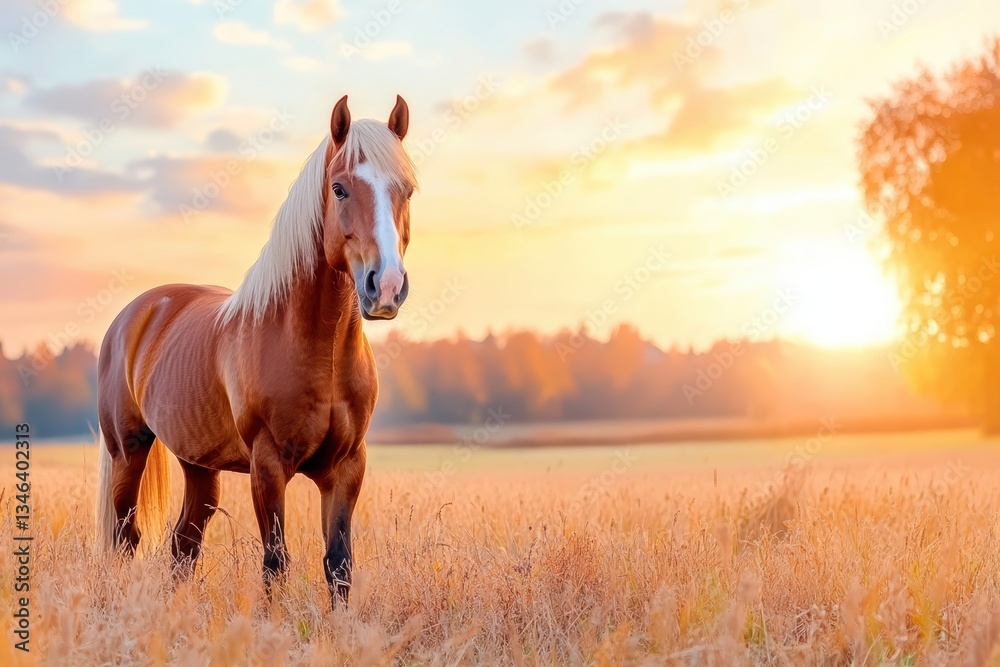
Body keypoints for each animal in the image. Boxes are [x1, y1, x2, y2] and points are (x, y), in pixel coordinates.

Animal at [95, 94, 416, 608]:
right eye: (340, 189)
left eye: (406, 190)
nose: (384, 287)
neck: (316, 348)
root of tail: (135, 313)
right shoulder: (268, 467)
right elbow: (276, 564)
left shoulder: (347, 468)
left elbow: (339, 564)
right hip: (128, 450)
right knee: (126, 540)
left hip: (199, 466)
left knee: (183, 545)